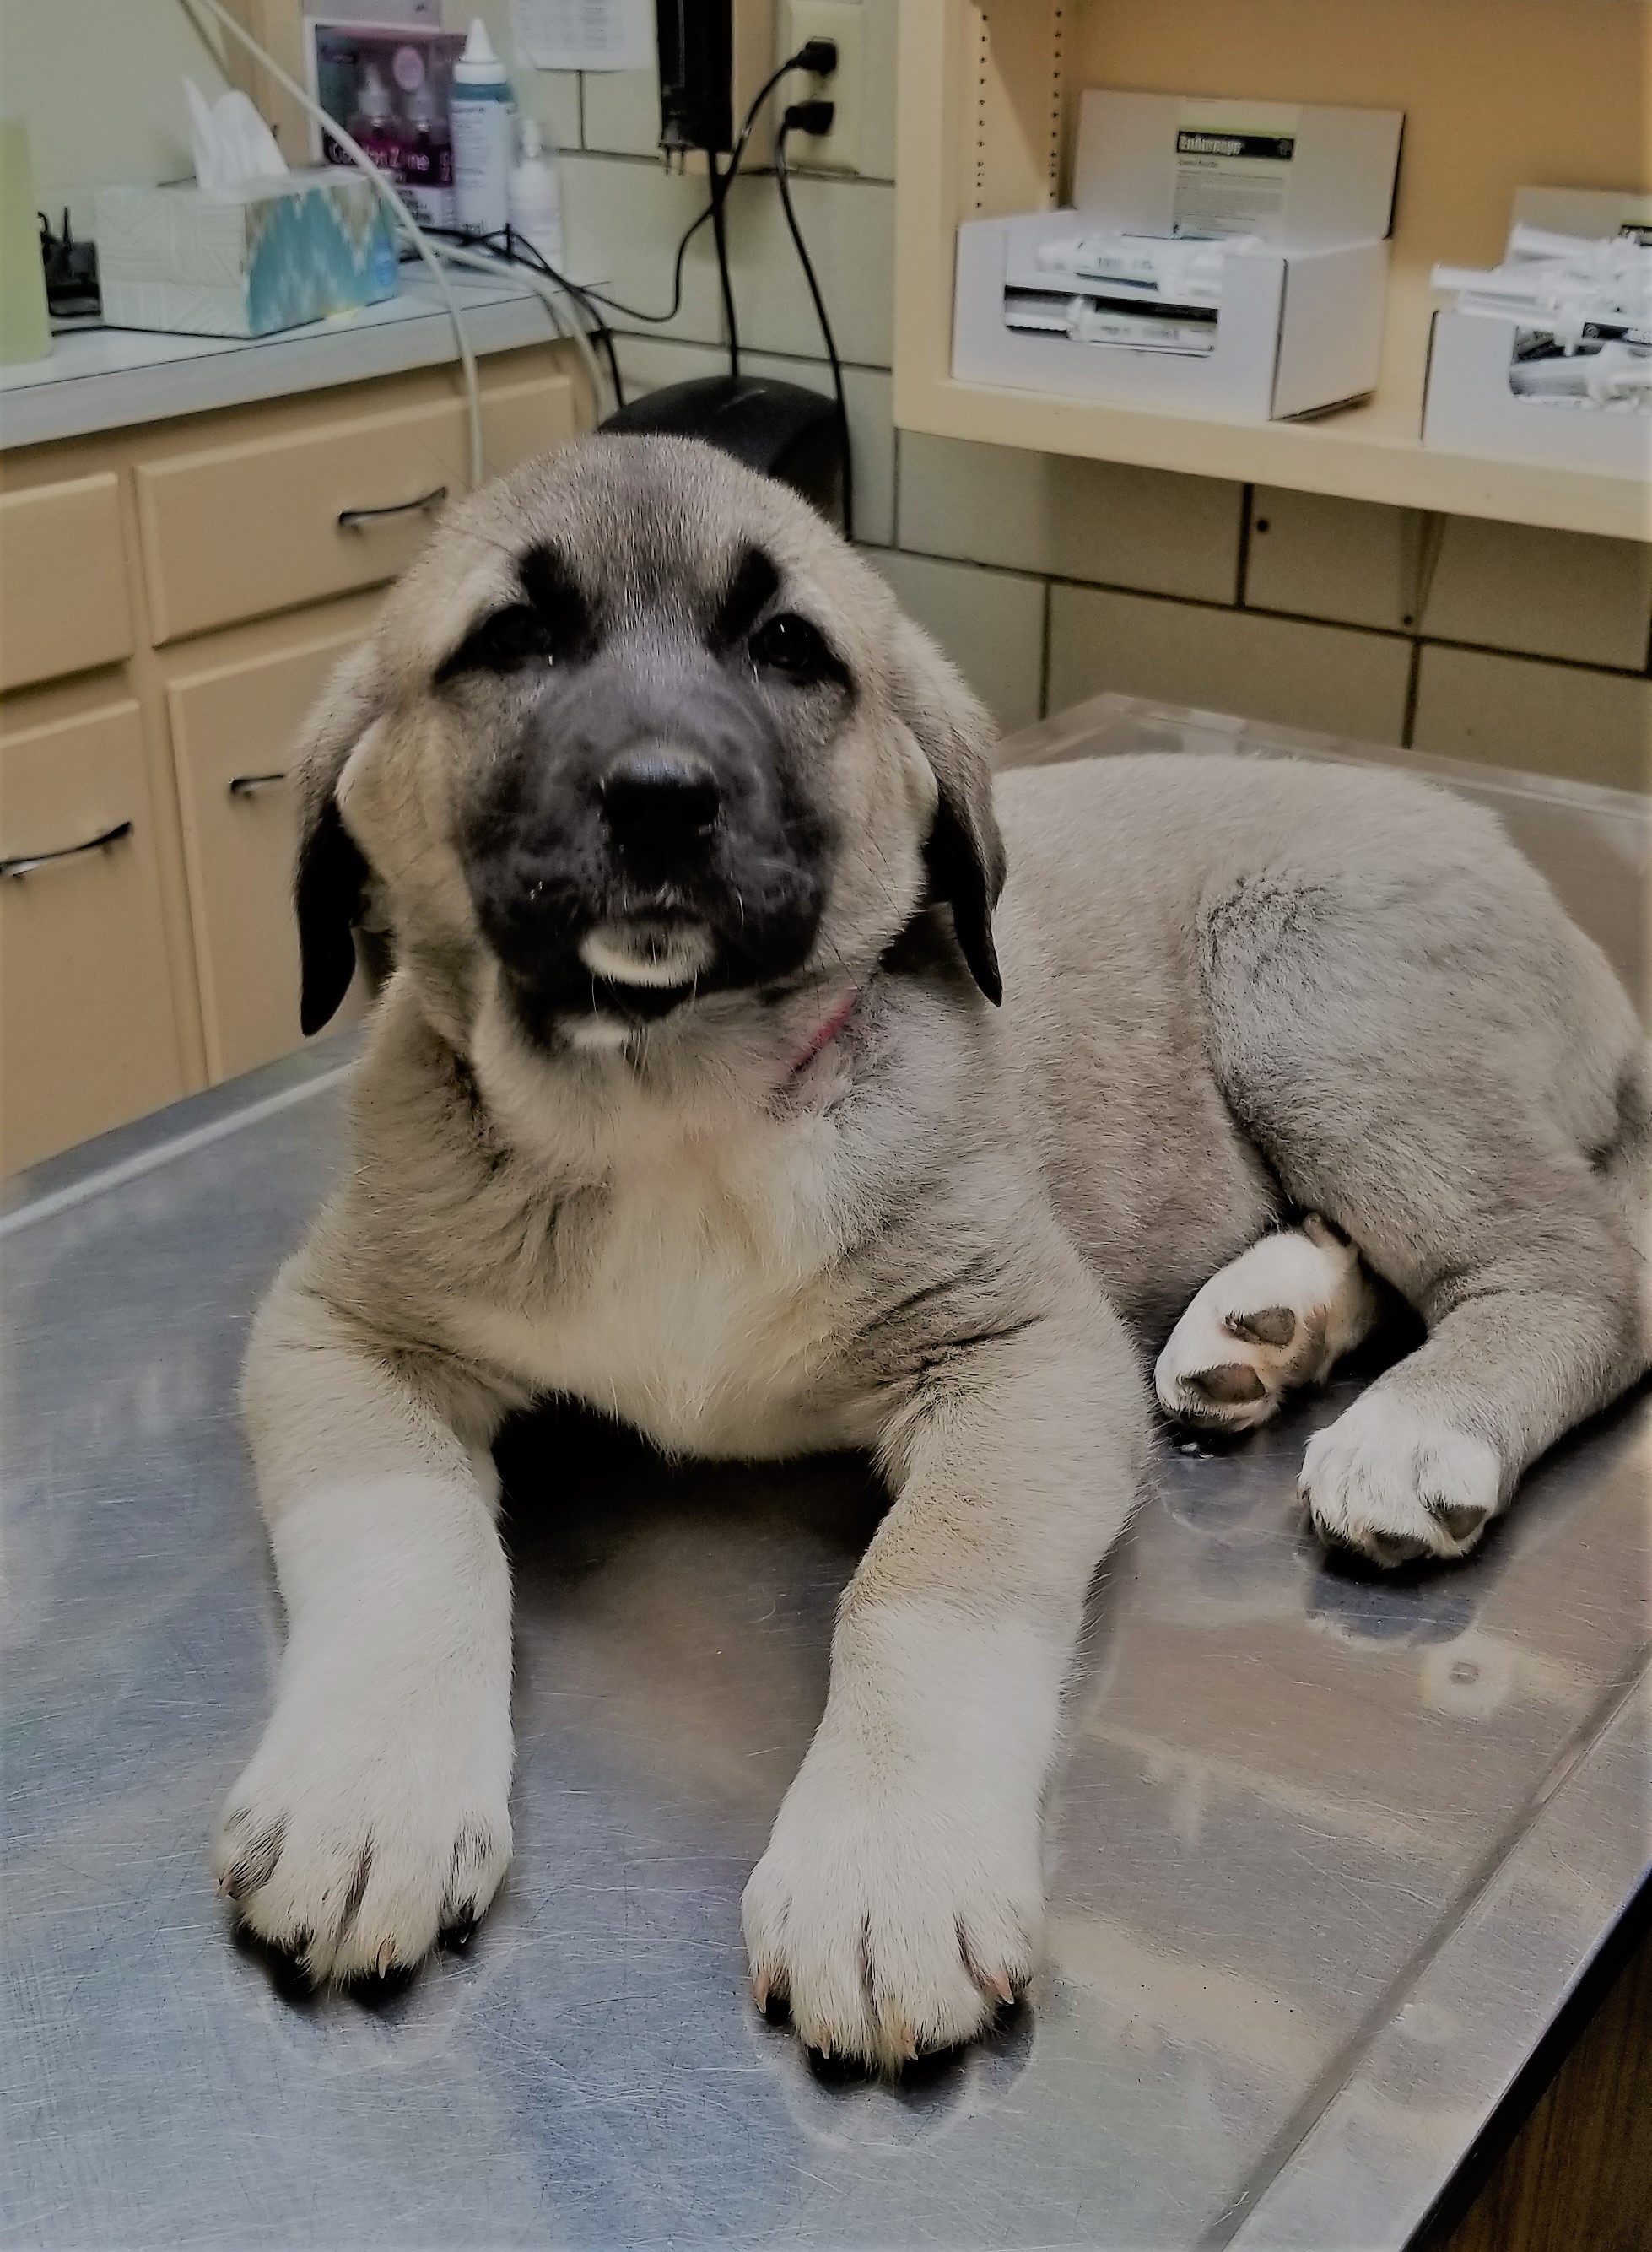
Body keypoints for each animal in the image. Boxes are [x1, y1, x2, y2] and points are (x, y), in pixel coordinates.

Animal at [213, 429, 1647, 2062]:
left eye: (787, 647)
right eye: (511, 639)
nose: (662, 799)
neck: (666, 1105)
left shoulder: (1021, 1358)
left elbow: (921, 1593)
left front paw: (884, 1870)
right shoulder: (344, 1328)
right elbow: (406, 1538)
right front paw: (363, 1791)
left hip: (1317, 1002)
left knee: (1569, 1262)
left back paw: (1417, 1426)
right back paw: (1262, 1325)